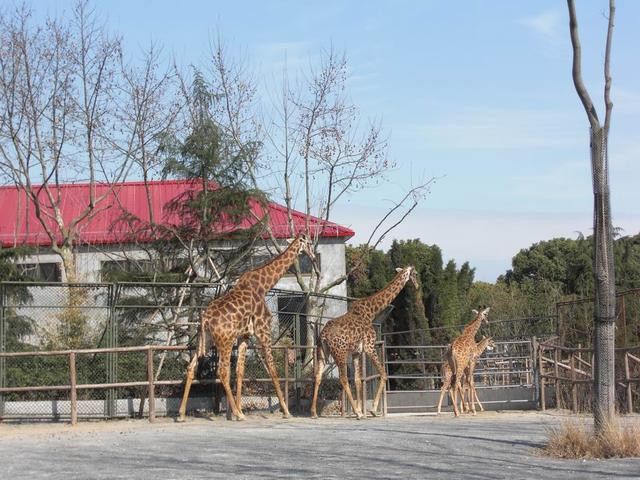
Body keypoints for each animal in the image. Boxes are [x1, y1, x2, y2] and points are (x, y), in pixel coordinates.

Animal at [176, 232, 316, 420]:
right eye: (309, 243)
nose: (313, 257)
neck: (264, 286)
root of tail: (204, 318)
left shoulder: (245, 336)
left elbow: (240, 370)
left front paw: (241, 410)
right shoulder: (263, 330)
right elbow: (272, 369)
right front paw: (286, 411)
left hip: (206, 340)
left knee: (192, 368)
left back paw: (181, 414)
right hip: (225, 342)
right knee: (222, 372)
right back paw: (236, 413)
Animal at [310, 266, 420, 420]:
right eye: (415, 273)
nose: (417, 286)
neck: (372, 311)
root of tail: (323, 336)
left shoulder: (356, 352)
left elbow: (358, 380)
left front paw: (362, 410)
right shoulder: (369, 346)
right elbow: (383, 373)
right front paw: (371, 410)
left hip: (322, 353)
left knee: (318, 377)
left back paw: (314, 412)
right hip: (340, 353)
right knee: (343, 379)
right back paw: (357, 413)